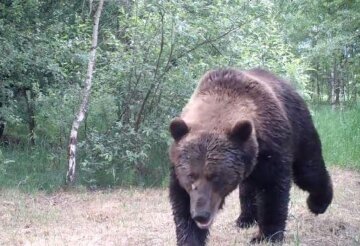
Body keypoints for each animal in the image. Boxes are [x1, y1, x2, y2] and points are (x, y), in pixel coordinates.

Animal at [168, 68, 332, 245]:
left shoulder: (272, 149)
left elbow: (272, 191)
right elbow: (182, 203)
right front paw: (191, 237)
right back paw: (245, 219)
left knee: (308, 171)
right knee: (247, 188)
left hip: (299, 128)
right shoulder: (178, 163)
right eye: (191, 176)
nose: (201, 214)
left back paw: (318, 203)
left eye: (215, 176)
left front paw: (266, 236)